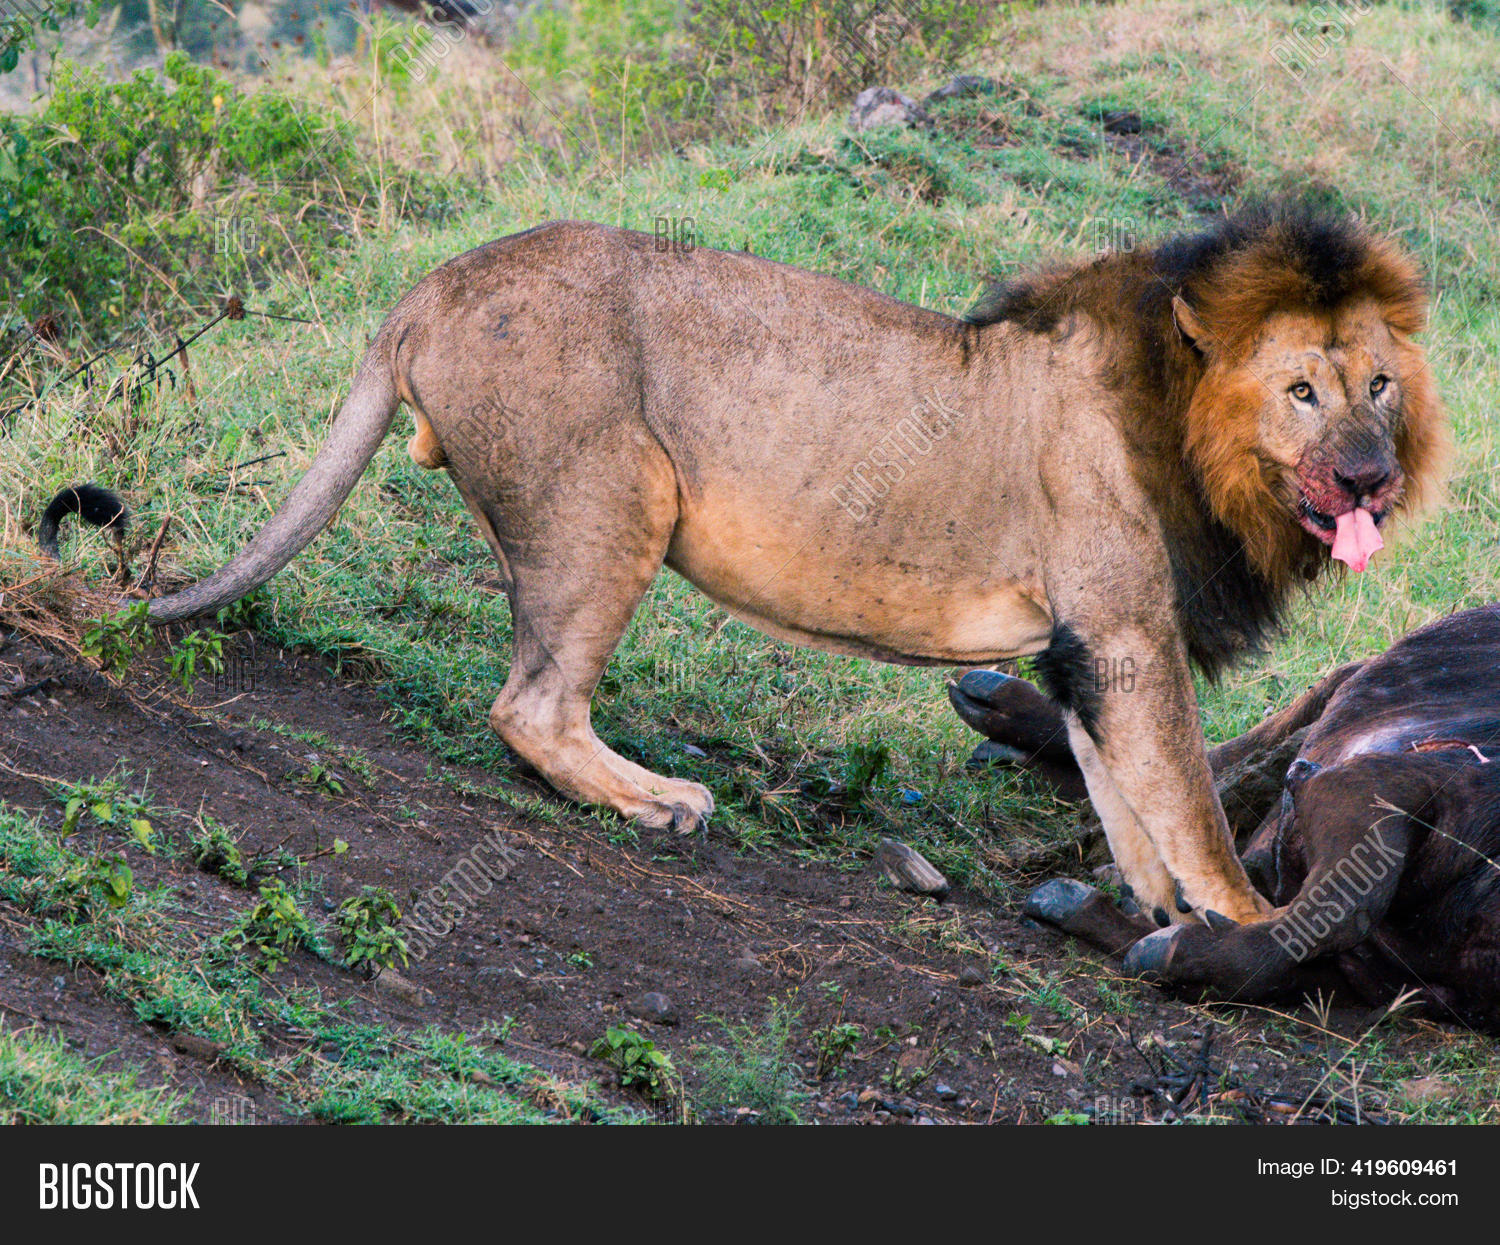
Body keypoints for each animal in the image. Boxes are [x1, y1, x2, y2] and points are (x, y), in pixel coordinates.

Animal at [146, 203, 1447, 928]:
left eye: (1380, 385)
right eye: (1302, 391)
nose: (1370, 477)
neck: (1201, 440)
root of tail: (433, 284)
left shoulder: (1086, 644)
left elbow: (1122, 791)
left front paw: (1160, 908)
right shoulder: (1127, 624)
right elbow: (1181, 789)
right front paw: (1243, 917)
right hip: (618, 499)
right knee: (530, 706)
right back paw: (656, 799)